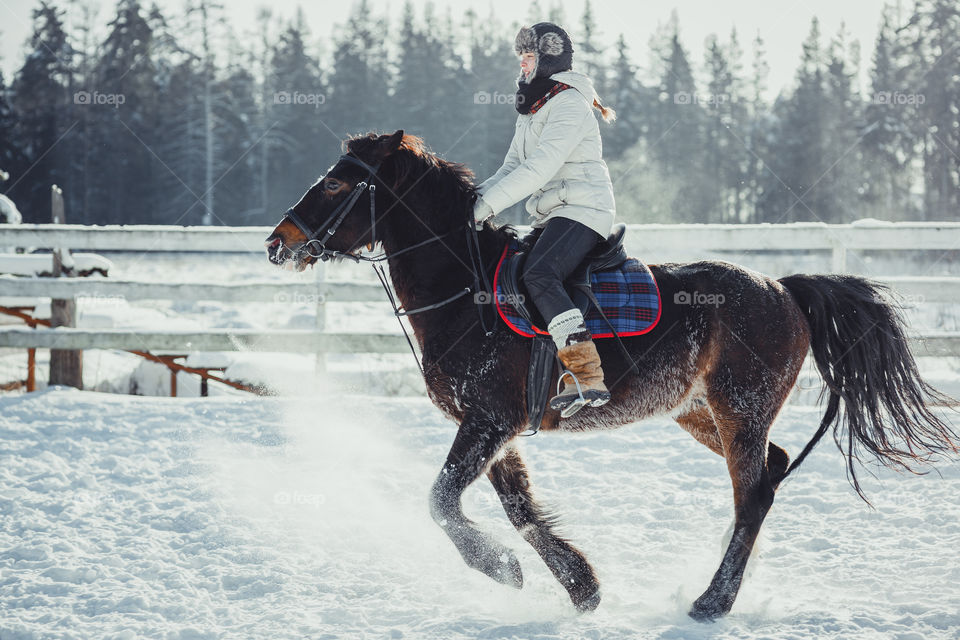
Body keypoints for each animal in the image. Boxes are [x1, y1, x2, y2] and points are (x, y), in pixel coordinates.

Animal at [264, 129, 960, 620]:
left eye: (337, 186)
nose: (277, 242)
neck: (465, 288)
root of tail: (783, 287)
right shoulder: (496, 428)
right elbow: (517, 508)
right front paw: (580, 586)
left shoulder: (488, 420)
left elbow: (440, 500)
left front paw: (499, 569)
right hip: (701, 413)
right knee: (771, 470)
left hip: (739, 409)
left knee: (753, 495)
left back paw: (712, 602)